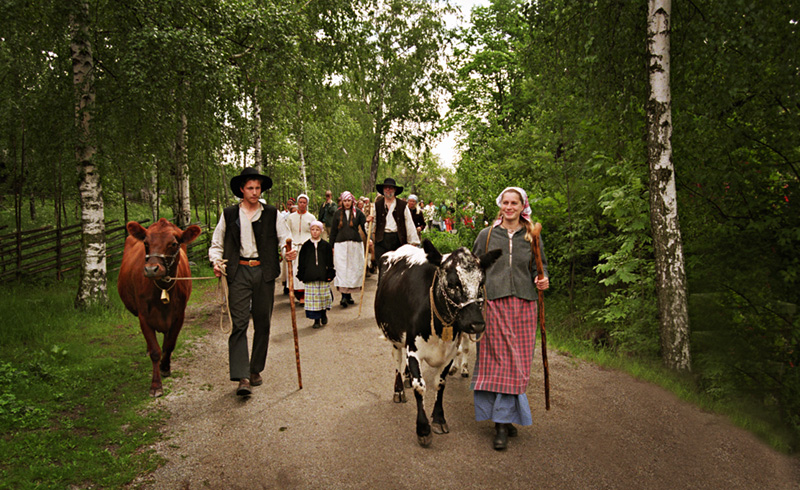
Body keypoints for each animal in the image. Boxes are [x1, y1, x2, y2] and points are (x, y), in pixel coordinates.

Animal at [118, 220, 202, 396]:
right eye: (146, 243)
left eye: (174, 244)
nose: (151, 269)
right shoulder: (144, 316)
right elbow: (155, 351)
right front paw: (156, 385)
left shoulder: (179, 315)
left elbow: (169, 344)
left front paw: (165, 367)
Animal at [376, 239, 500, 446]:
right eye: (452, 284)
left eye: (481, 283)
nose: (476, 324)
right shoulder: (413, 350)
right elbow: (420, 386)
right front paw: (423, 428)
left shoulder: (449, 352)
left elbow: (440, 384)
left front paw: (439, 419)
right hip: (394, 337)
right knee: (397, 361)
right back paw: (399, 389)